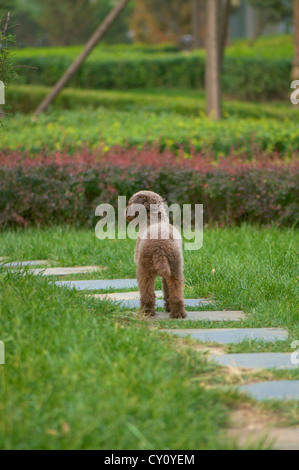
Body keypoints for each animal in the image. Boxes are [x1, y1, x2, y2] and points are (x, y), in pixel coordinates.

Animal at [125, 191, 186, 320]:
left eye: (130, 202)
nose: (126, 212)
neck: (154, 220)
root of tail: (159, 248)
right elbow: (167, 290)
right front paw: (168, 307)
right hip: (175, 268)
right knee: (176, 291)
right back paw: (178, 313)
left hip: (144, 269)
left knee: (146, 293)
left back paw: (146, 312)